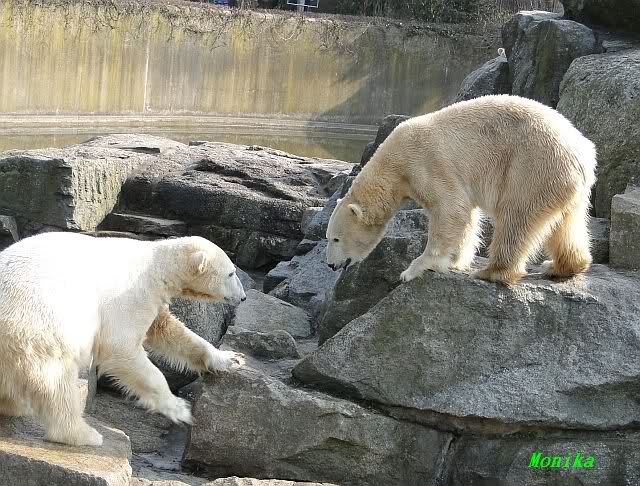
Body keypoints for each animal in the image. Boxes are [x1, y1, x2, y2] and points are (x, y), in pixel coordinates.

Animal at [0, 232, 246, 447]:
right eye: (231, 273)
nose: (243, 297)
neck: (156, 266)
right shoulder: (130, 295)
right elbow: (121, 347)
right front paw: (180, 409)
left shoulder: (153, 301)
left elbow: (169, 330)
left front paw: (231, 359)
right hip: (38, 329)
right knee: (56, 382)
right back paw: (84, 434)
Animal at [326, 95, 596, 285]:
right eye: (329, 237)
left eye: (336, 238)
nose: (330, 265)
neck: (393, 163)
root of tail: (581, 152)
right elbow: (466, 215)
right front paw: (456, 261)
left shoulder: (426, 163)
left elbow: (450, 208)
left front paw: (414, 269)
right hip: (563, 182)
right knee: (567, 222)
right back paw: (561, 266)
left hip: (532, 166)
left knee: (516, 218)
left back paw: (492, 271)